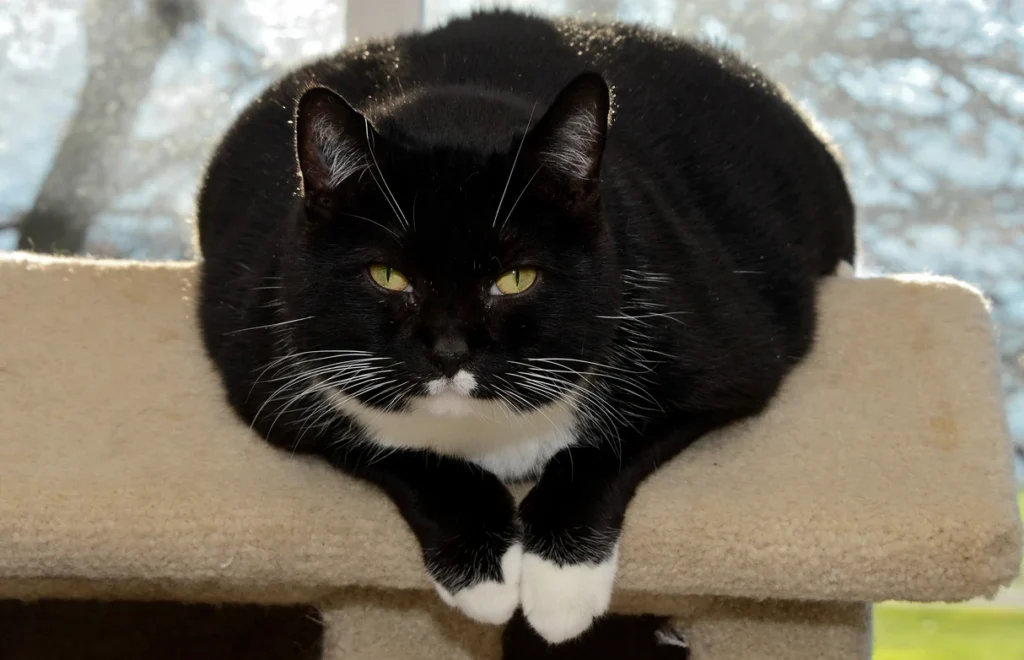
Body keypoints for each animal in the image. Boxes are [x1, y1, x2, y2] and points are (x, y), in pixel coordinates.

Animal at [193, 7, 856, 646]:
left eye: (515, 278)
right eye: (388, 275)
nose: (450, 350)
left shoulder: (724, 350)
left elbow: (607, 446)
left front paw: (562, 584)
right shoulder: (260, 364)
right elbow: (395, 451)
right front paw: (482, 572)